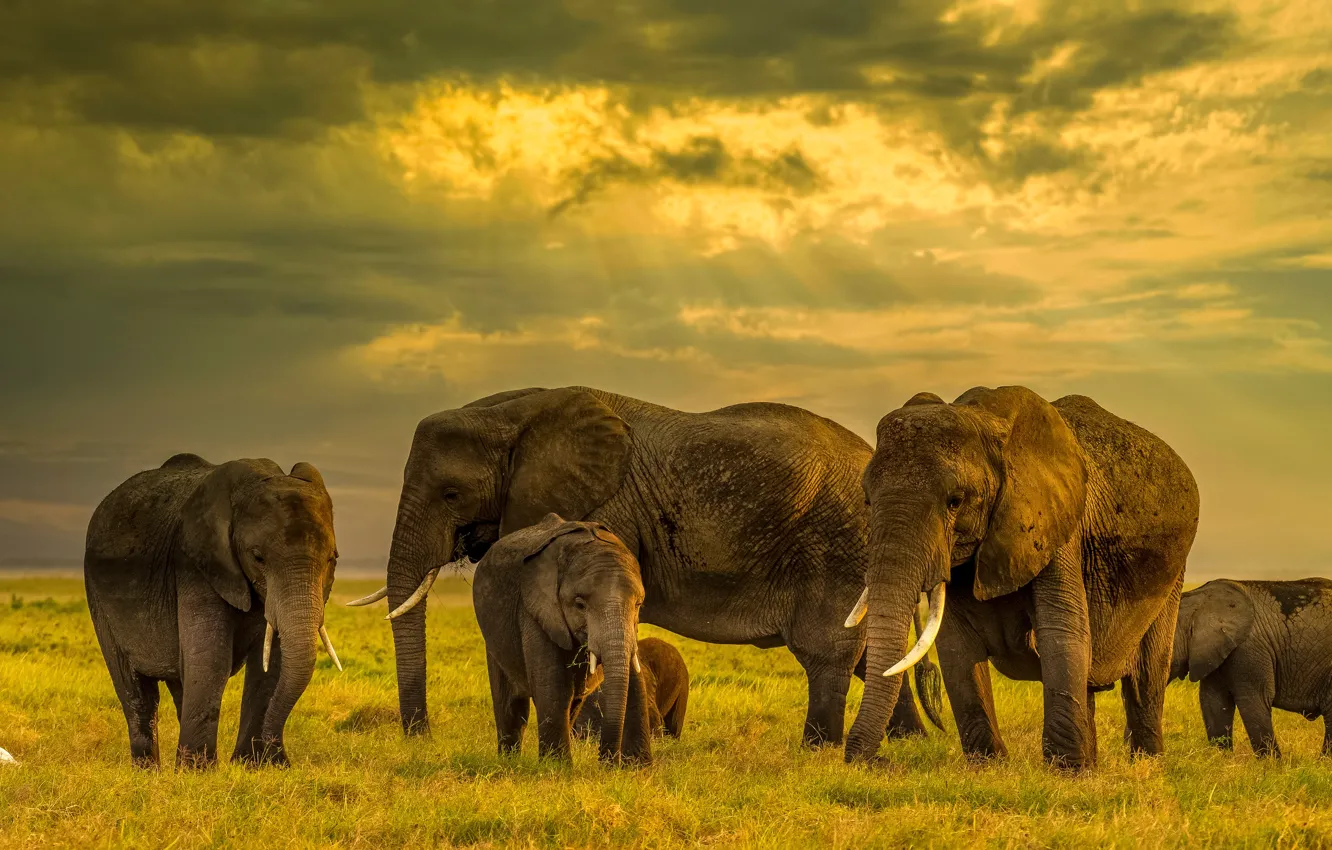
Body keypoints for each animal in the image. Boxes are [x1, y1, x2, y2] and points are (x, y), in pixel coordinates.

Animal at [83, 454, 342, 768]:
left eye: (332, 559)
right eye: (258, 557)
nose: (278, 754)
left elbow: (271, 662)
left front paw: (255, 766)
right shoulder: (195, 566)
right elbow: (212, 658)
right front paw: (200, 771)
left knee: (180, 680)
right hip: (98, 598)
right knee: (135, 690)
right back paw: (148, 771)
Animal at [471, 512, 653, 764]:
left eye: (638, 605)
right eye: (580, 604)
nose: (606, 762)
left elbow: (633, 676)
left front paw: (636, 767)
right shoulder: (534, 609)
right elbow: (554, 686)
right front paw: (556, 767)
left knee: (573, 702)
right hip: (494, 639)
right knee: (510, 705)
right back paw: (508, 761)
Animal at [843, 386, 1200, 769]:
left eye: (955, 501)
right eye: (867, 499)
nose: (875, 760)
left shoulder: (1054, 526)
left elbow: (1061, 631)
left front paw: (1066, 772)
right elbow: (956, 644)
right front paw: (988, 766)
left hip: (1172, 573)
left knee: (1147, 675)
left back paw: (1146, 764)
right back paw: (1095, 762)